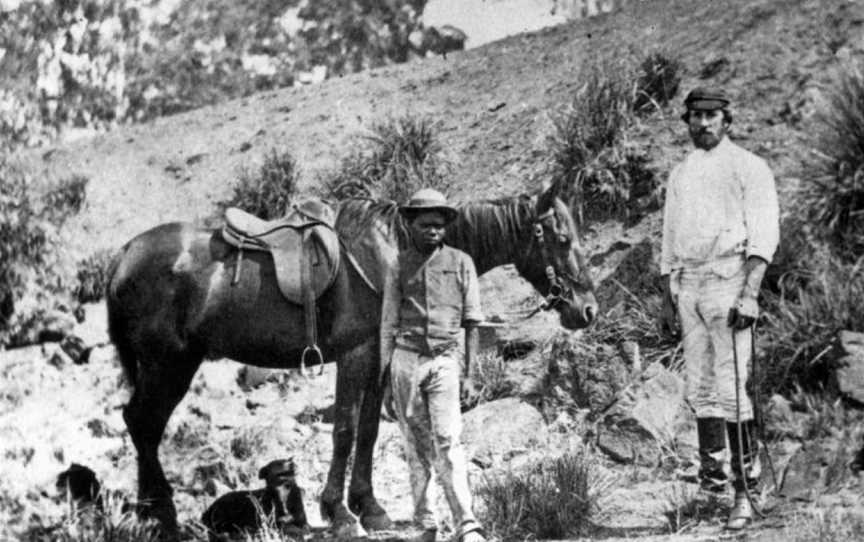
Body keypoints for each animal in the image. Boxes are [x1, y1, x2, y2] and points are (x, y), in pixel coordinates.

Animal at [106, 184, 592, 540]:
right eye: (562, 239)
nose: (587, 310)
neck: (393, 253)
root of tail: (124, 255)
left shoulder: (378, 355)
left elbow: (369, 430)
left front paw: (368, 506)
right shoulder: (355, 354)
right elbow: (343, 429)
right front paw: (338, 512)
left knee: (141, 425)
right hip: (169, 366)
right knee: (143, 425)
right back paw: (161, 519)